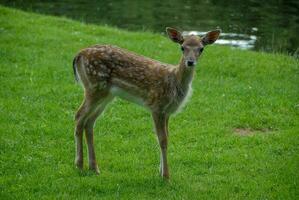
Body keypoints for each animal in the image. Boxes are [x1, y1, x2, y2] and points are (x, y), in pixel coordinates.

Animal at [73, 27, 220, 179]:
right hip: (94, 87)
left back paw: (94, 167)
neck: (174, 83)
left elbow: (167, 137)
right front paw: (166, 176)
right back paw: (79, 164)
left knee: (89, 122)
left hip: (106, 95)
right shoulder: (156, 106)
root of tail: (79, 54)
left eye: (201, 48)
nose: (190, 62)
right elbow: (162, 139)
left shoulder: (167, 111)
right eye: (182, 47)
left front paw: (161, 172)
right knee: (79, 116)